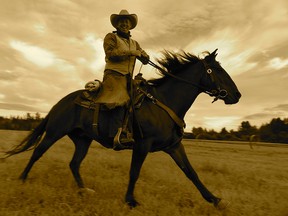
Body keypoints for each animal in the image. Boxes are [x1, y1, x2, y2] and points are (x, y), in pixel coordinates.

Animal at [5, 49, 242, 209]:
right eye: (217, 70)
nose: (237, 95)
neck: (165, 102)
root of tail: (60, 102)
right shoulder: (142, 145)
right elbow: (134, 172)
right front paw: (130, 200)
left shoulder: (174, 146)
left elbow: (191, 172)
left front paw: (215, 199)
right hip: (55, 132)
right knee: (37, 152)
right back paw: (22, 179)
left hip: (82, 139)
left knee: (74, 163)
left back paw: (84, 190)